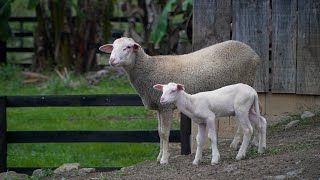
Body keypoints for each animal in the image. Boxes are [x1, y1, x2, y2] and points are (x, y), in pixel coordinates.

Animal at [99, 37, 260, 164]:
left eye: (127, 47)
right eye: (112, 47)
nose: (112, 60)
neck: (149, 69)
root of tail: (253, 52)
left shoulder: (166, 107)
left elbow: (165, 133)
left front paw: (164, 159)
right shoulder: (159, 106)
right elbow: (159, 132)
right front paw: (159, 156)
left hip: (246, 81)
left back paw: (237, 143)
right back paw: (255, 142)